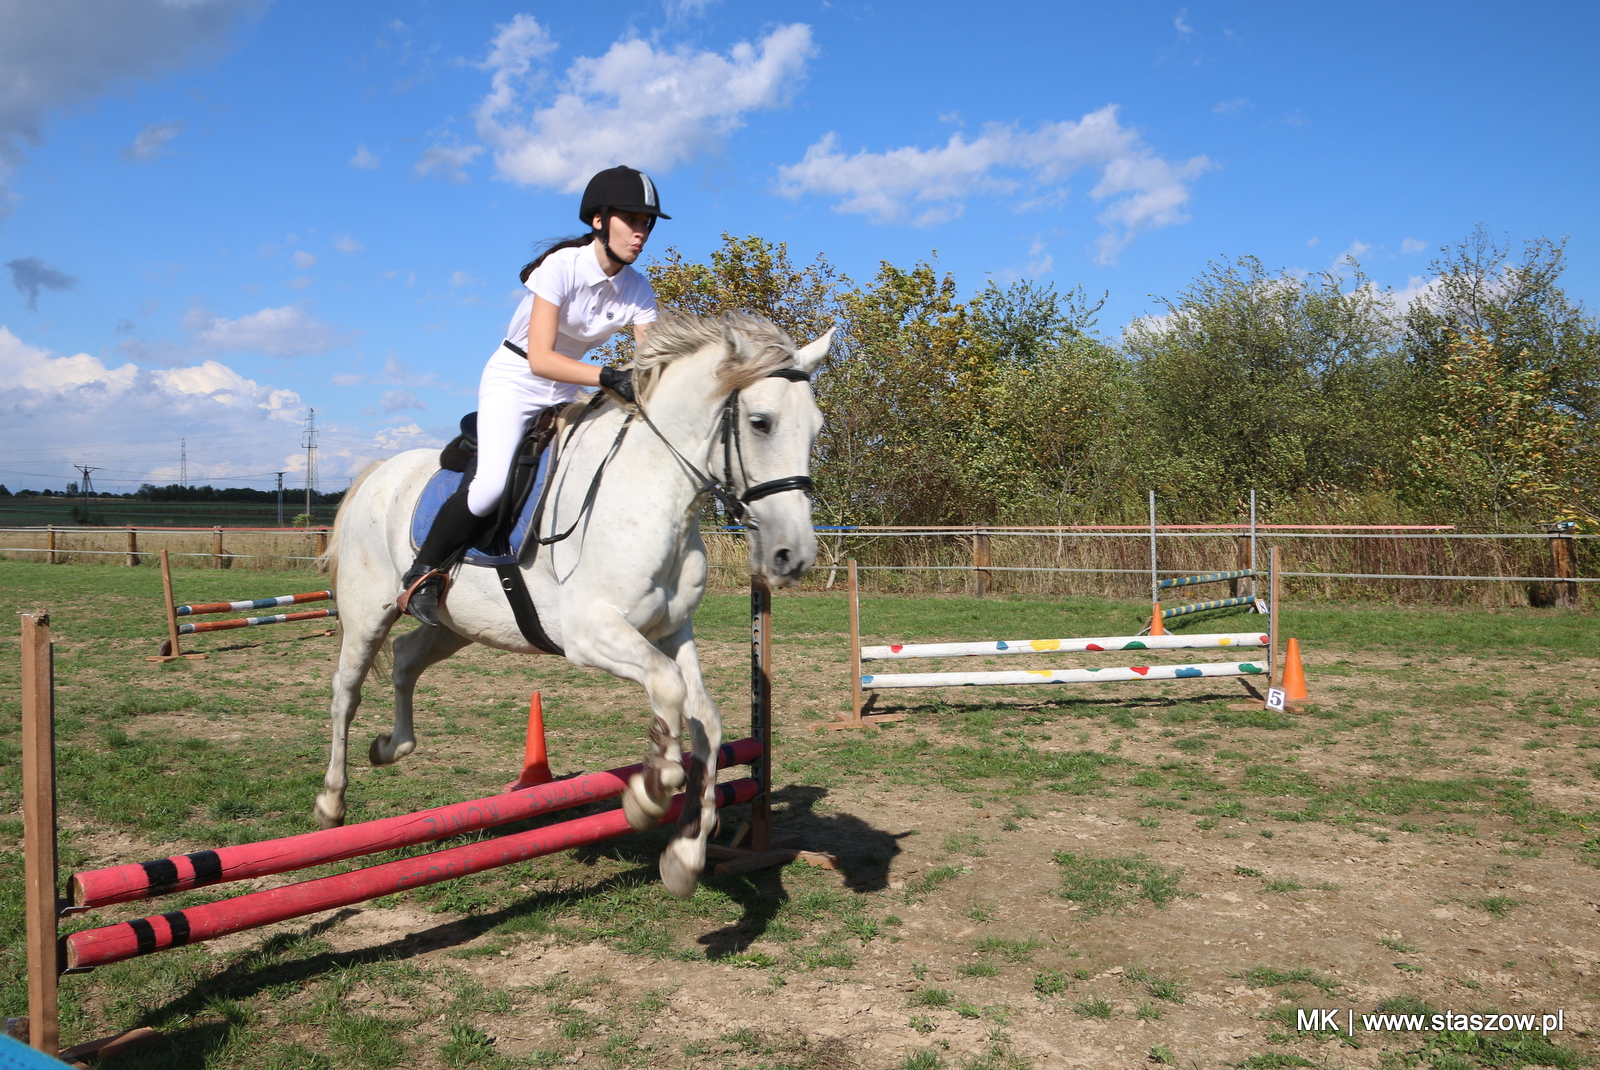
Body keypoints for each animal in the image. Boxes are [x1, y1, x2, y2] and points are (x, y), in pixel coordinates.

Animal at [318, 315, 832, 895]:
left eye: (815, 429)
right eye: (761, 423)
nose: (793, 556)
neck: (654, 491)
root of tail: (380, 471)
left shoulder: (672, 630)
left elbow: (706, 718)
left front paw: (685, 854)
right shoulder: (590, 633)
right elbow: (668, 690)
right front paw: (650, 790)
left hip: (458, 624)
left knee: (406, 658)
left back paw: (391, 747)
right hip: (368, 613)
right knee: (346, 691)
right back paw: (332, 801)